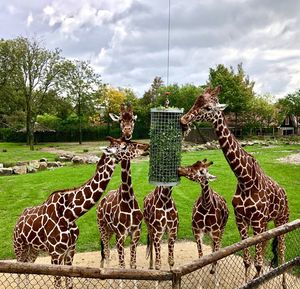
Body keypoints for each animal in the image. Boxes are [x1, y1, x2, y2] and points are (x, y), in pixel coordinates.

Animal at [13, 136, 148, 286]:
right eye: (124, 146)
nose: (146, 147)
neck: (70, 214)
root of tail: (18, 221)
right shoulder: (55, 253)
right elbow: (58, 284)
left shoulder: (70, 250)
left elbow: (69, 283)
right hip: (19, 247)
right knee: (18, 270)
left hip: (33, 249)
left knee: (28, 267)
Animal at [179, 85, 290, 286]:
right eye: (195, 102)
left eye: (208, 107)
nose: (183, 120)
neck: (245, 180)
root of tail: (284, 192)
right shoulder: (242, 220)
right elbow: (247, 260)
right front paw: (248, 281)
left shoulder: (257, 221)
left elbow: (258, 263)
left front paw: (257, 280)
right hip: (267, 223)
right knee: (268, 245)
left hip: (282, 219)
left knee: (282, 249)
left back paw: (284, 282)